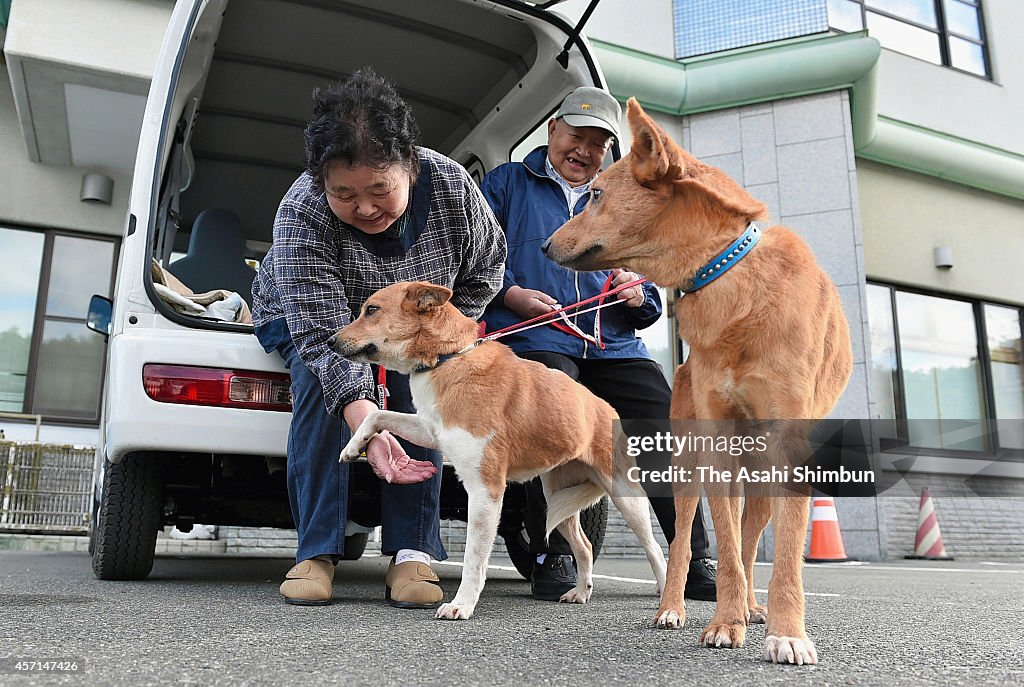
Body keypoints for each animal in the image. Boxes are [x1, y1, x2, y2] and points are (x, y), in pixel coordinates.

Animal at [323, 282, 667, 622]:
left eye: (372, 310)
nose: (328, 341)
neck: (448, 359)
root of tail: (605, 407)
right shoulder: (431, 431)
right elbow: (376, 415)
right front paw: (353, 446)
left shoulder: (485, 491)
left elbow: (473, 561)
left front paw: (461, 605)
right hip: (557, 497)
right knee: (583, 547)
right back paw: (580, 592)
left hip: (626, 495)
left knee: (655, 549)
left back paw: (666, 599)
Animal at [544, 99, 856, 663]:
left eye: (596, 194)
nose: (543, 244)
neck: (724, 272)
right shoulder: (714, 440)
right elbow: (724, 549)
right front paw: (726, 623)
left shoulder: (789, 444)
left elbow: (779, 558)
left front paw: (786, 632)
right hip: (688, 463)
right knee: (683, 541)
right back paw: (674, 607)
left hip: (760, 474)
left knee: (753, 541)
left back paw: (754, 606)